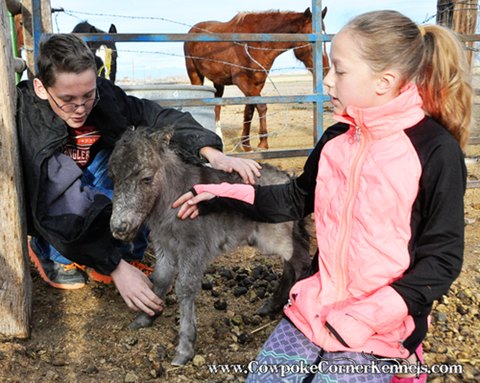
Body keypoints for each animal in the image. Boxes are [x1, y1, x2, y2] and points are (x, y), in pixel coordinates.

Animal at [109, 127, 312, 366]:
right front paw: (145, 317)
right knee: (291, 266)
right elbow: (160, 279)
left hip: (277, 237)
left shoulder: (194, 247)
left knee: (300, 263)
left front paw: (185, 348)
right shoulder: (164, 245)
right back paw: (270, 306)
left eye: (147, 178)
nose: (118, 228)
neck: (172, 200)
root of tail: (290, 180)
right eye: (112, 177)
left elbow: (184, 288)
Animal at [185, 7, 330, 152]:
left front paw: (246, 145)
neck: (253, 43)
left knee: (217, 107)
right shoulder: (241, 80)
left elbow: (249, 111)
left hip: (218, 82)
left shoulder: (258, 82)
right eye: (310, 41)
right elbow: (261, 106)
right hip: (196, 77)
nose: (325, 71)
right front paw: (263, 143)